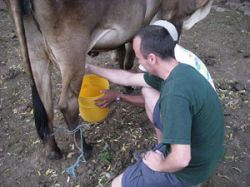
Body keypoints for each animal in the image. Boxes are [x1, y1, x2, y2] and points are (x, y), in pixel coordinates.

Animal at [4, 0, 213, 159]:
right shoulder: (161, 18)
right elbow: (131, 55)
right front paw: (129, 85)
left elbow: (121, 51)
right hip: (72, 50)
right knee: (67, 104)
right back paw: (85, 149)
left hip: (35, 52)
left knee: (45, 104)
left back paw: (53, 151)